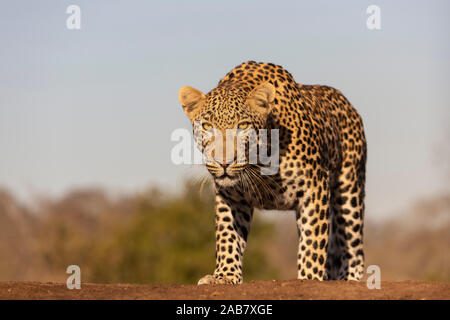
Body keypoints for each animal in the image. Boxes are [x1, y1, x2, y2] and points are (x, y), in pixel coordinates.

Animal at [178, 61, 368, 284]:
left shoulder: (315, 187)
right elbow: (227, 236)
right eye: (207, 126)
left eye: (243, 126)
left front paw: (309, 278)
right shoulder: (231, 196)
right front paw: (225, 275)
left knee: (353, 247)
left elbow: (313, 241)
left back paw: (349, 278)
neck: (259, 161)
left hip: (349, 191)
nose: (224, 162)